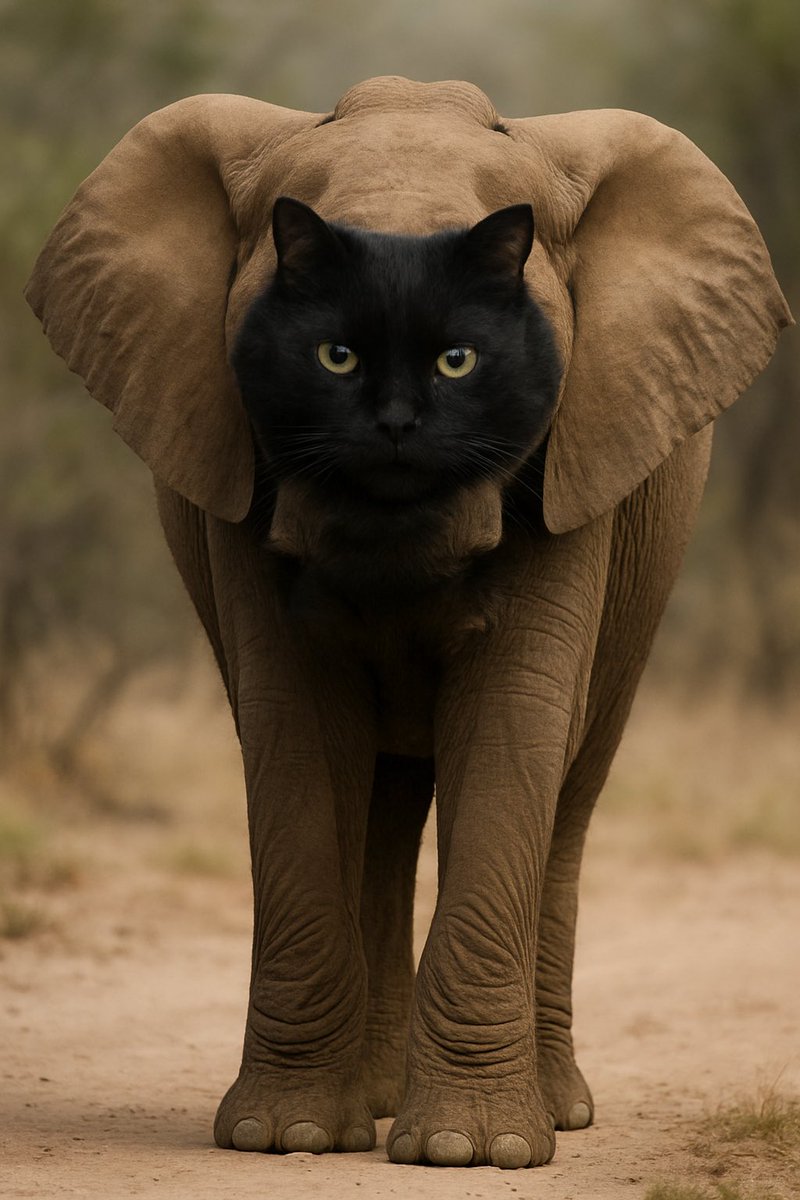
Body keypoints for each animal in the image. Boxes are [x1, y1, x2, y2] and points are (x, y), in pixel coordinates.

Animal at [26, 76, 790, 1170]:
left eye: (465, 356)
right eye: (330, 351)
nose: (394, 426)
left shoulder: (576, 466)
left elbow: (514, 722)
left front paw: (475, 1150)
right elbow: (296, 732)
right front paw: (285, 1135)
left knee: (569, 793)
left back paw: (554, 1109)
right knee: (383, 806)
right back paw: (372, 1100)